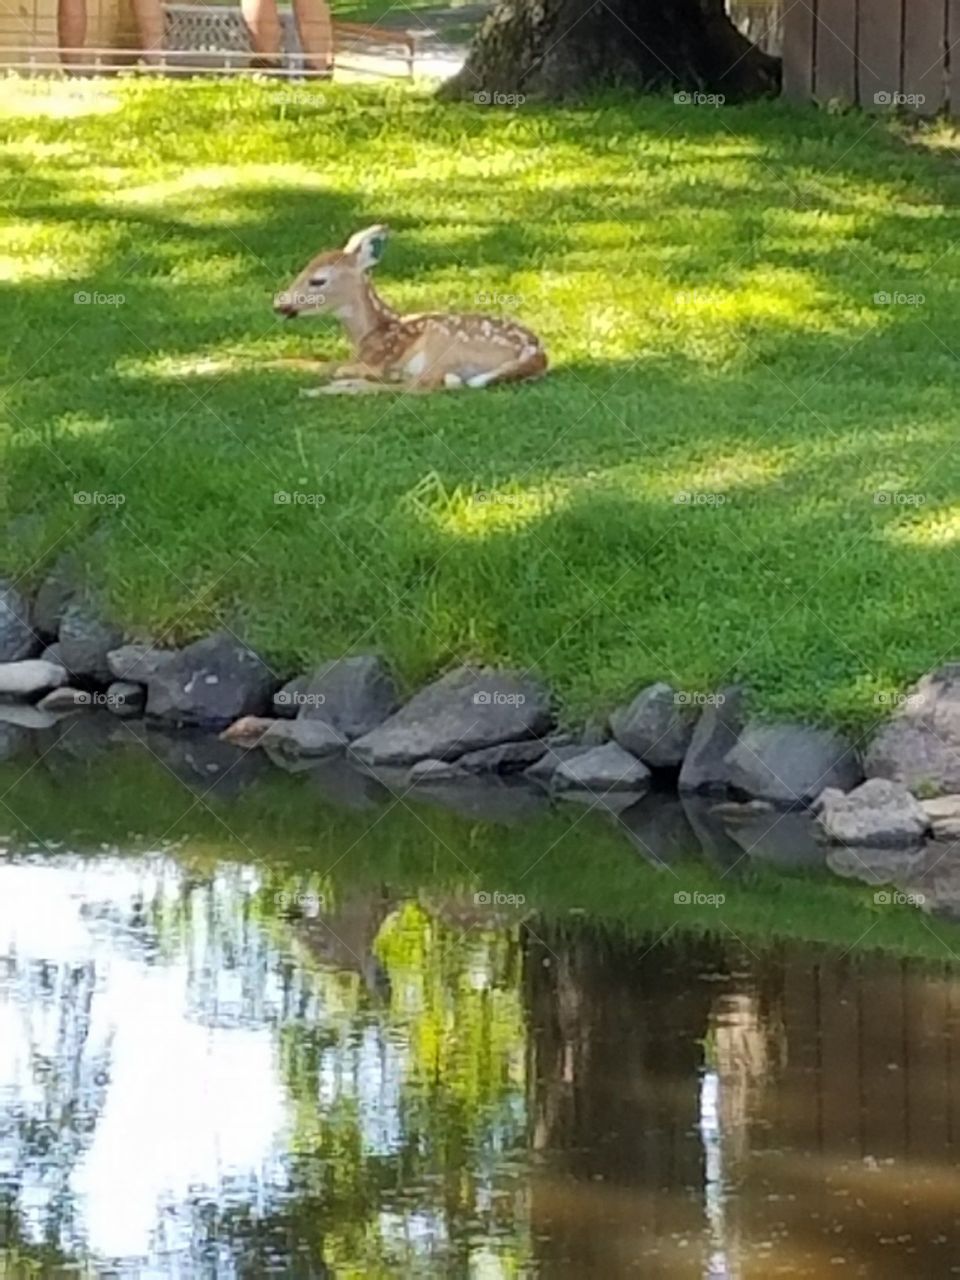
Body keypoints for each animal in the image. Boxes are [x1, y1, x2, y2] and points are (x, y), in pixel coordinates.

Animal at [273, 225, 548, 395]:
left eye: (317, 280)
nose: (279, 304)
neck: (371, 332)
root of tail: (537, 352)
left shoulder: (373, 361)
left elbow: (322, 365)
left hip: (442, 342)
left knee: (424, 386)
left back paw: (322, 390)